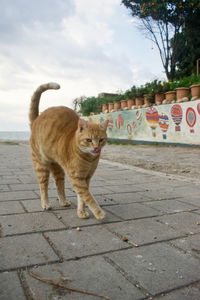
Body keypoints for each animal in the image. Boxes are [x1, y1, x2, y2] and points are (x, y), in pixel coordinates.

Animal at [29, 83, 108, 219]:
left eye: (101, 140)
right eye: (89, 140)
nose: (96, 148)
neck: (89, 159)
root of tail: (37, 119)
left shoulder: (86, 177)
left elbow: (82, 197)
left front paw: (81, 212)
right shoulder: (77, 178)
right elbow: (88, 196)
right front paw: (99, 213)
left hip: (58, 168)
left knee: (59, 184)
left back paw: (63, 201)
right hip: (41, 166)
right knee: (43, 186)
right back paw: (45, 204)